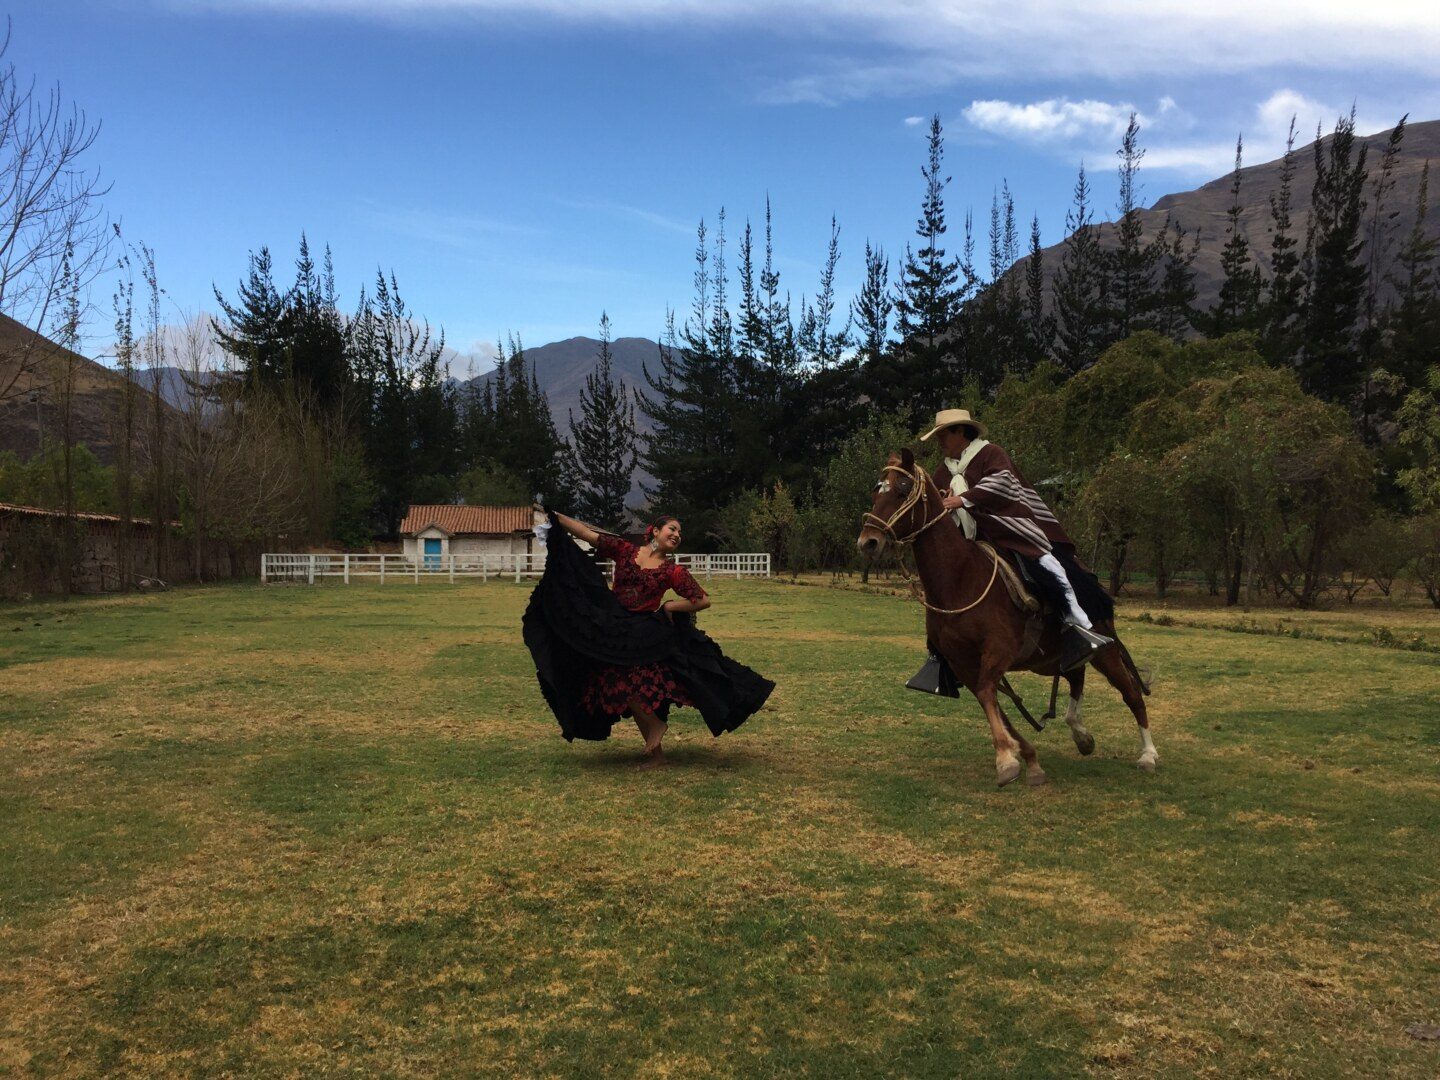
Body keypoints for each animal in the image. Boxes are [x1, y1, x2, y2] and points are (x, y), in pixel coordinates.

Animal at [856, 448, 1158, 788]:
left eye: (901, 490)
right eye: (876, 491)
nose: (868, 542)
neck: (960, 580)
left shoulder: (998, 650)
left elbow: (988, 693)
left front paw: (1006, 759)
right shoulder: (963, 662)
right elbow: (990, 701)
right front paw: (1026, 757)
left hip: (1104, 651)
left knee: (1131, 694)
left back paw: (1148, 755)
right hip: (1050, 658)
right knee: (1075, 677)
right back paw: (1081, 734)